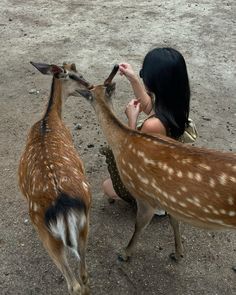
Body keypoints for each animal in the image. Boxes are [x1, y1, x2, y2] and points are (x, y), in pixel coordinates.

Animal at [18, 61, 93, 294]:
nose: (90, 86)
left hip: (45, 232)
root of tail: (64, 206)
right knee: (83, 275)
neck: (49, 118)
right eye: (75, 75)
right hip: (84, 222)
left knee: (73, 283)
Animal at [74, 65, 235, 266]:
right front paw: (178, 253)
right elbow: (174, 221)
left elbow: (139, 226)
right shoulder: (168, 198)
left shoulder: (145, 195)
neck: (123, 142)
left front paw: (124, 254)